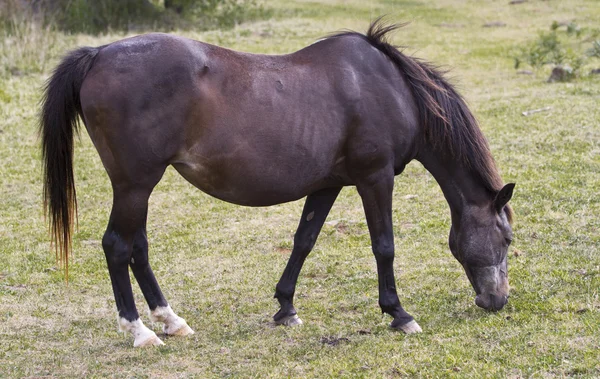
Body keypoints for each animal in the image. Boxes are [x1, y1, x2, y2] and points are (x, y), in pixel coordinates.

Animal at [39, 20, 512, 348]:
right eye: (507, 238)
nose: (497, 301)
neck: (393, 89)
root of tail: (99, 54)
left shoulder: (328, 185)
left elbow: (304, 241)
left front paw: (285, 307)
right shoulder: (374, 179)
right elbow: (384, 246)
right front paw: (398, 313)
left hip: (139, 188)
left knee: (137, 246)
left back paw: (172, 321)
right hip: (135, 185)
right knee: (118, 246)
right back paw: (140, 331)